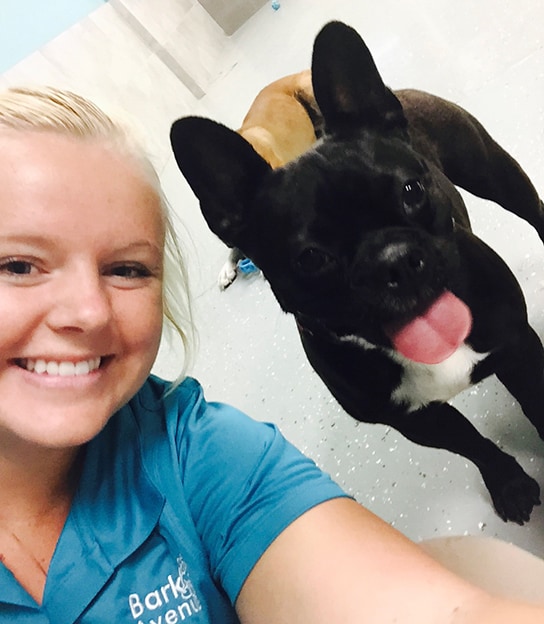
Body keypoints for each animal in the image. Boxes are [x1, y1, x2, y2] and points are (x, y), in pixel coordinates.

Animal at [172, 22, 544, 524]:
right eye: (310, 258)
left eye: (412, 190)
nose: (394, 259)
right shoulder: (419, 420)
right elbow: (473, 446)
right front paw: (507, 482)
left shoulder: (517, 345)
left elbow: (535, 400)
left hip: (492, 172)